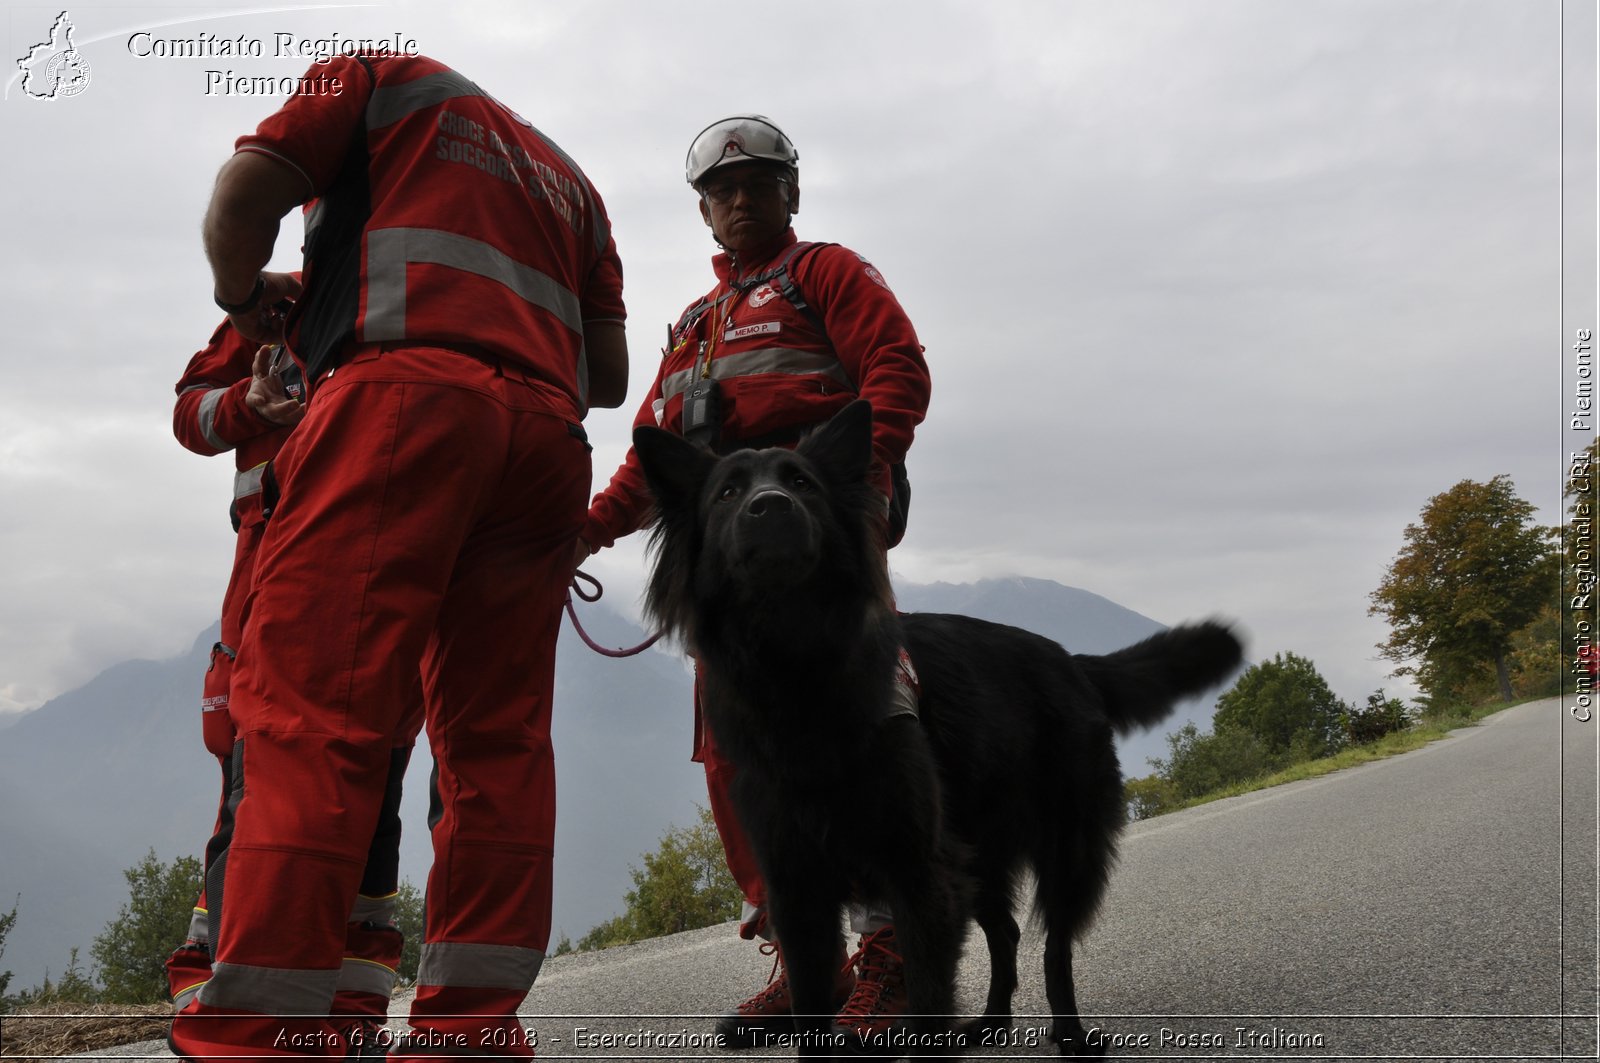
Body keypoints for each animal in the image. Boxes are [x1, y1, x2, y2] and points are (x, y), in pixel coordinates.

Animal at [630, 400, 1241, 1056]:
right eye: (727, 492)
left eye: (802, 483)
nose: (770, 506)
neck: (796, 669)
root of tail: (1071, 662)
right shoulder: (799, 889)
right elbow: (812, 1007)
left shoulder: (918, 873)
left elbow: (927, 1001)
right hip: (978, 861)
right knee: (1007, 933)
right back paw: (991, 1026)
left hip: (1063, 854)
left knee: (1054, 949)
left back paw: (1071, 1037)